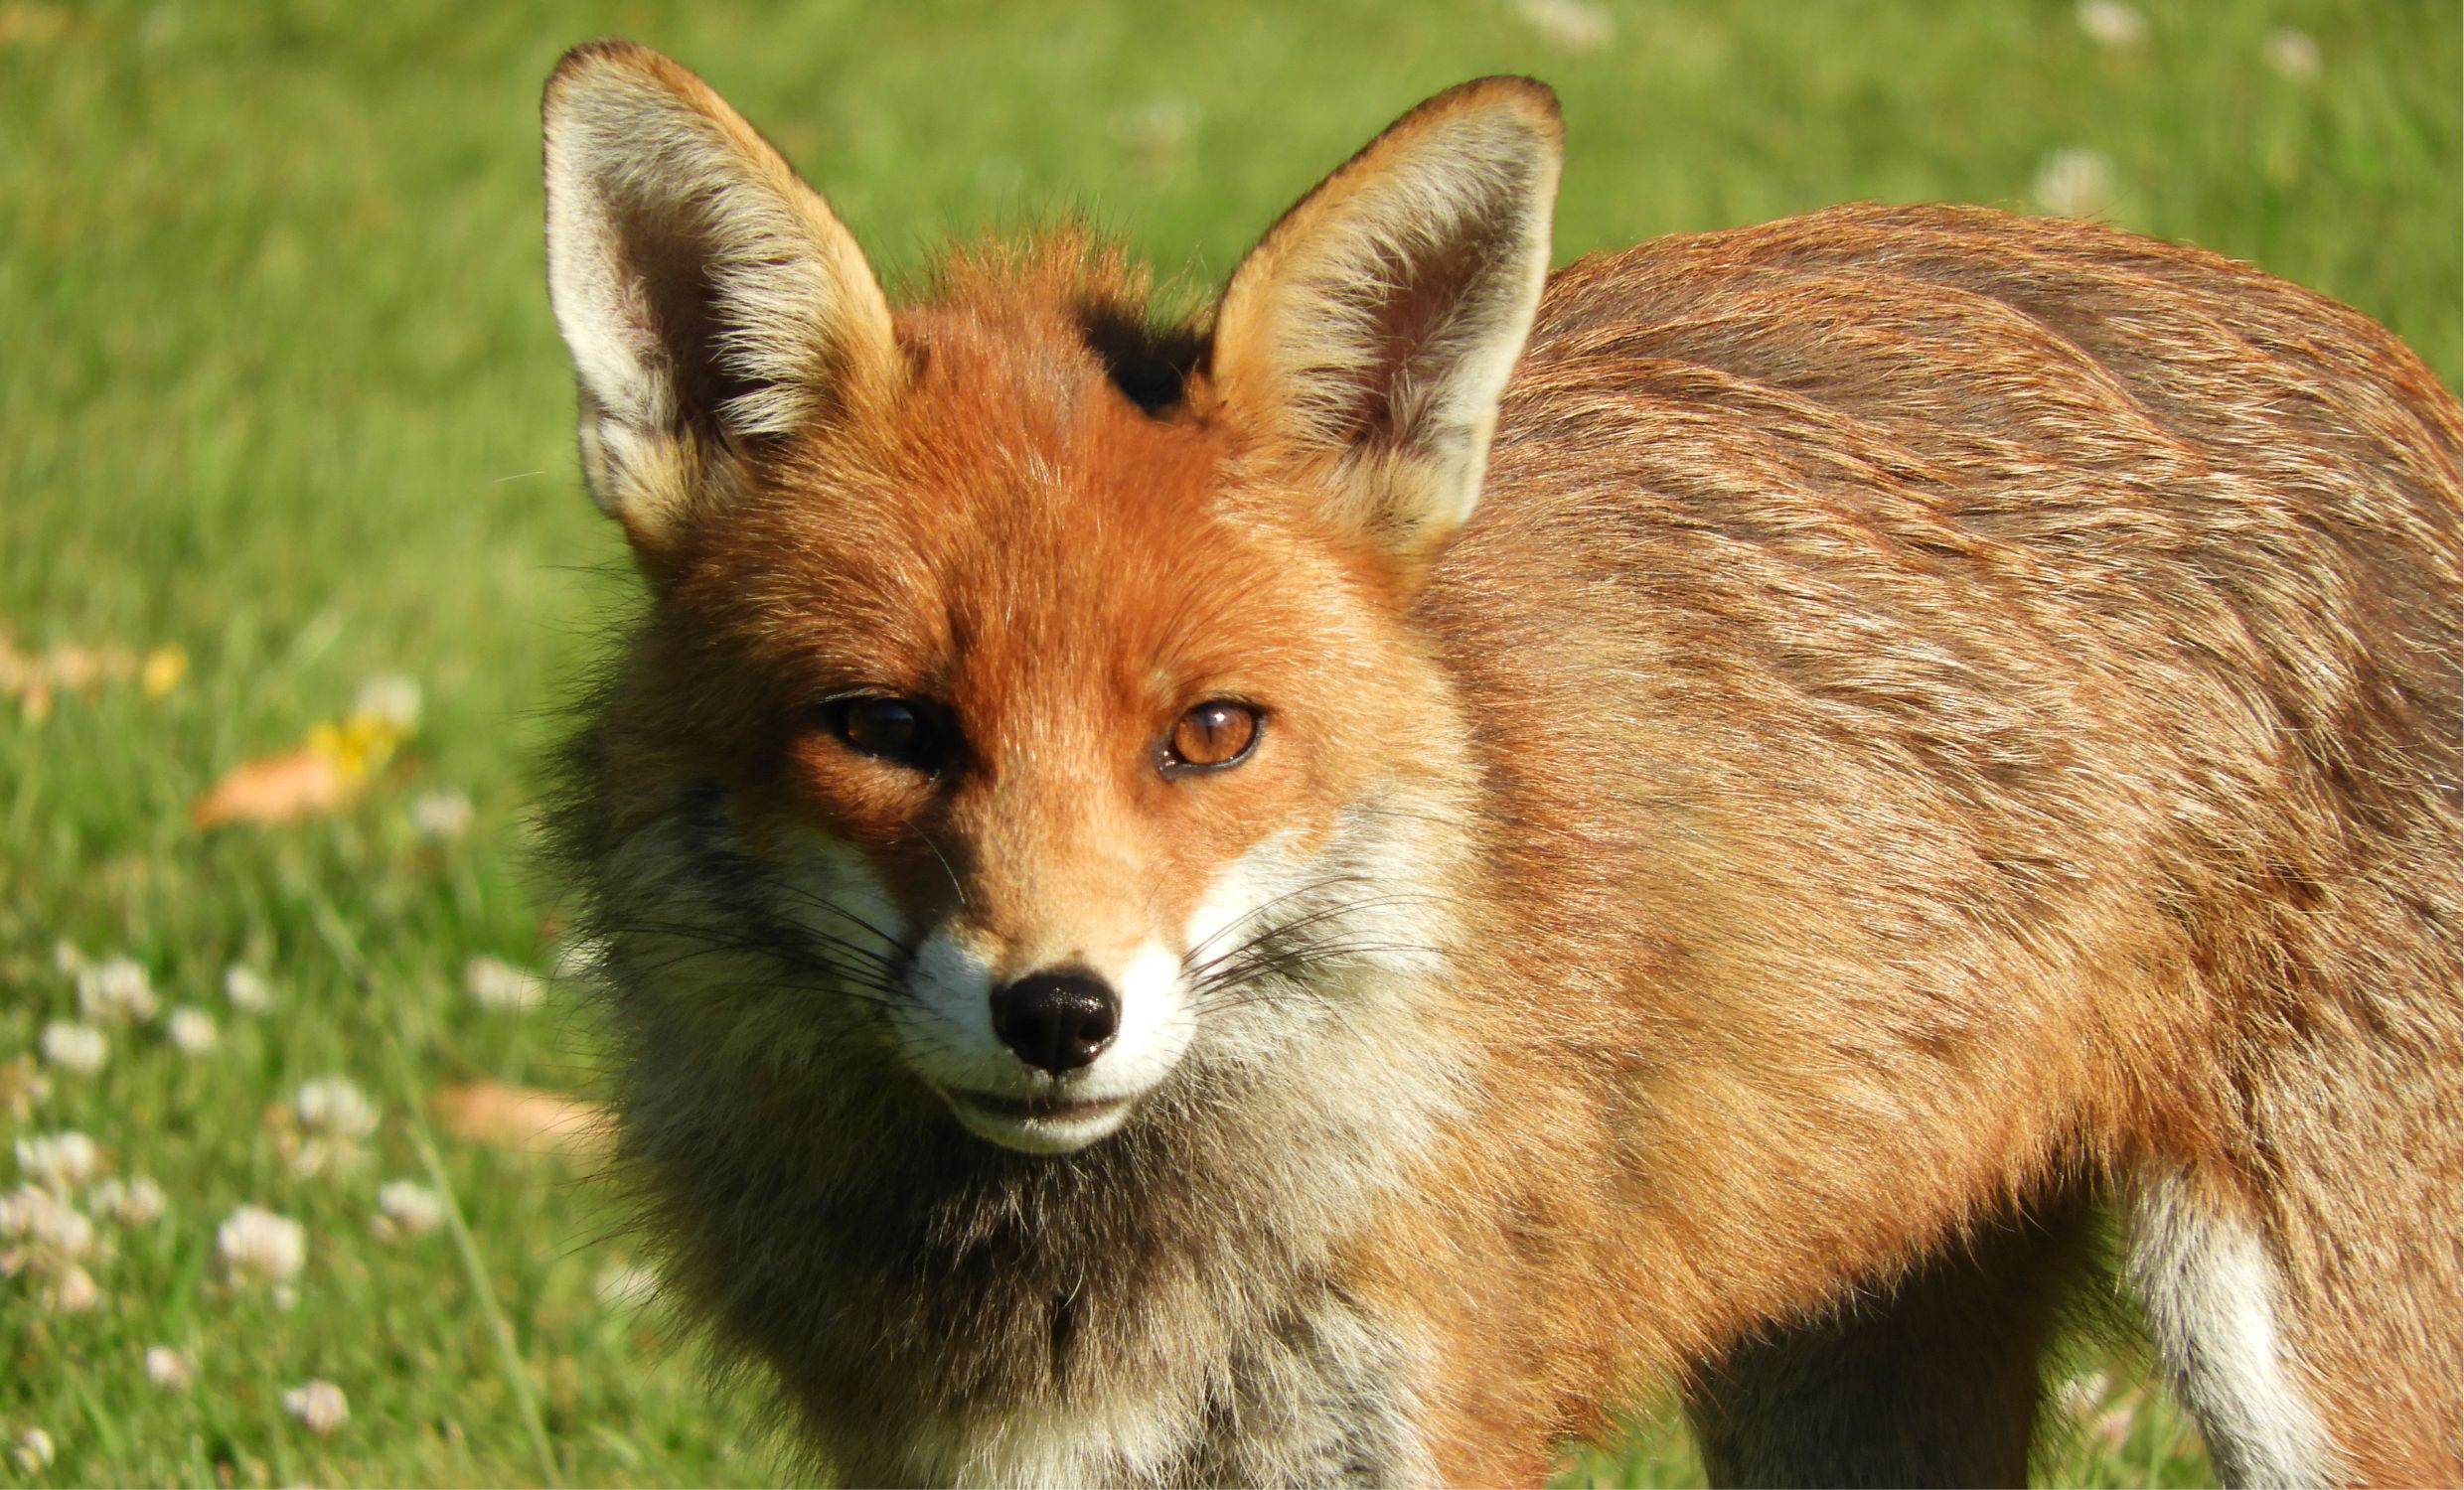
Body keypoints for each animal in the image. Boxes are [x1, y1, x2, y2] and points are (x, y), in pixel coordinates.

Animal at [538, 39, 2462, 1489]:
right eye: (886, 729)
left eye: (1211, 734)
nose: (1059, 1012)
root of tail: (2379, 357)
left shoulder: (1414, 1425)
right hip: (1835, 1370)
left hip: (2315, 1368)